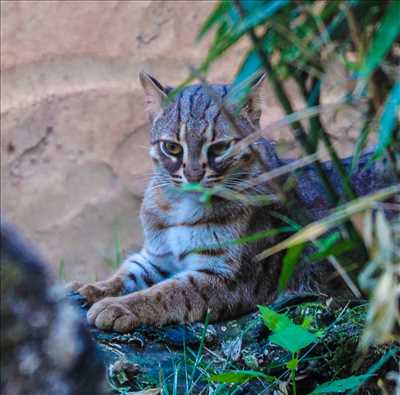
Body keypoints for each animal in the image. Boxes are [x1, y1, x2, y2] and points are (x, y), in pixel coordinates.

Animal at [69, 72, 394, 334]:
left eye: (220, 148)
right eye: (172, 147)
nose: (193, 175)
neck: (180, 208)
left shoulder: (227, 278)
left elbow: (166, 291)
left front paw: (120, 306)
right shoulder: (157, 256)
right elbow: (127, 271)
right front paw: (91, 288)